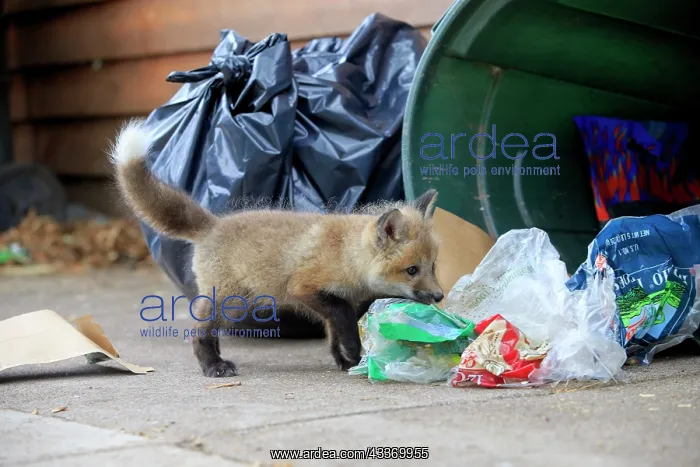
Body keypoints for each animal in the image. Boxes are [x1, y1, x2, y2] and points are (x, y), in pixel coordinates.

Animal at [108, 119, 444, 377]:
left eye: (432, 267)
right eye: (411, 270)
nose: (440, 295)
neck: (345, 257)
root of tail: (212, 224)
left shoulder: (341, 300)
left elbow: (335, 330)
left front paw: (346, 359)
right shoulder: (306, 288)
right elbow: (343, 318)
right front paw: (352, 352)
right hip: (231, 302)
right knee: (200, 333)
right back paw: (213, 366)